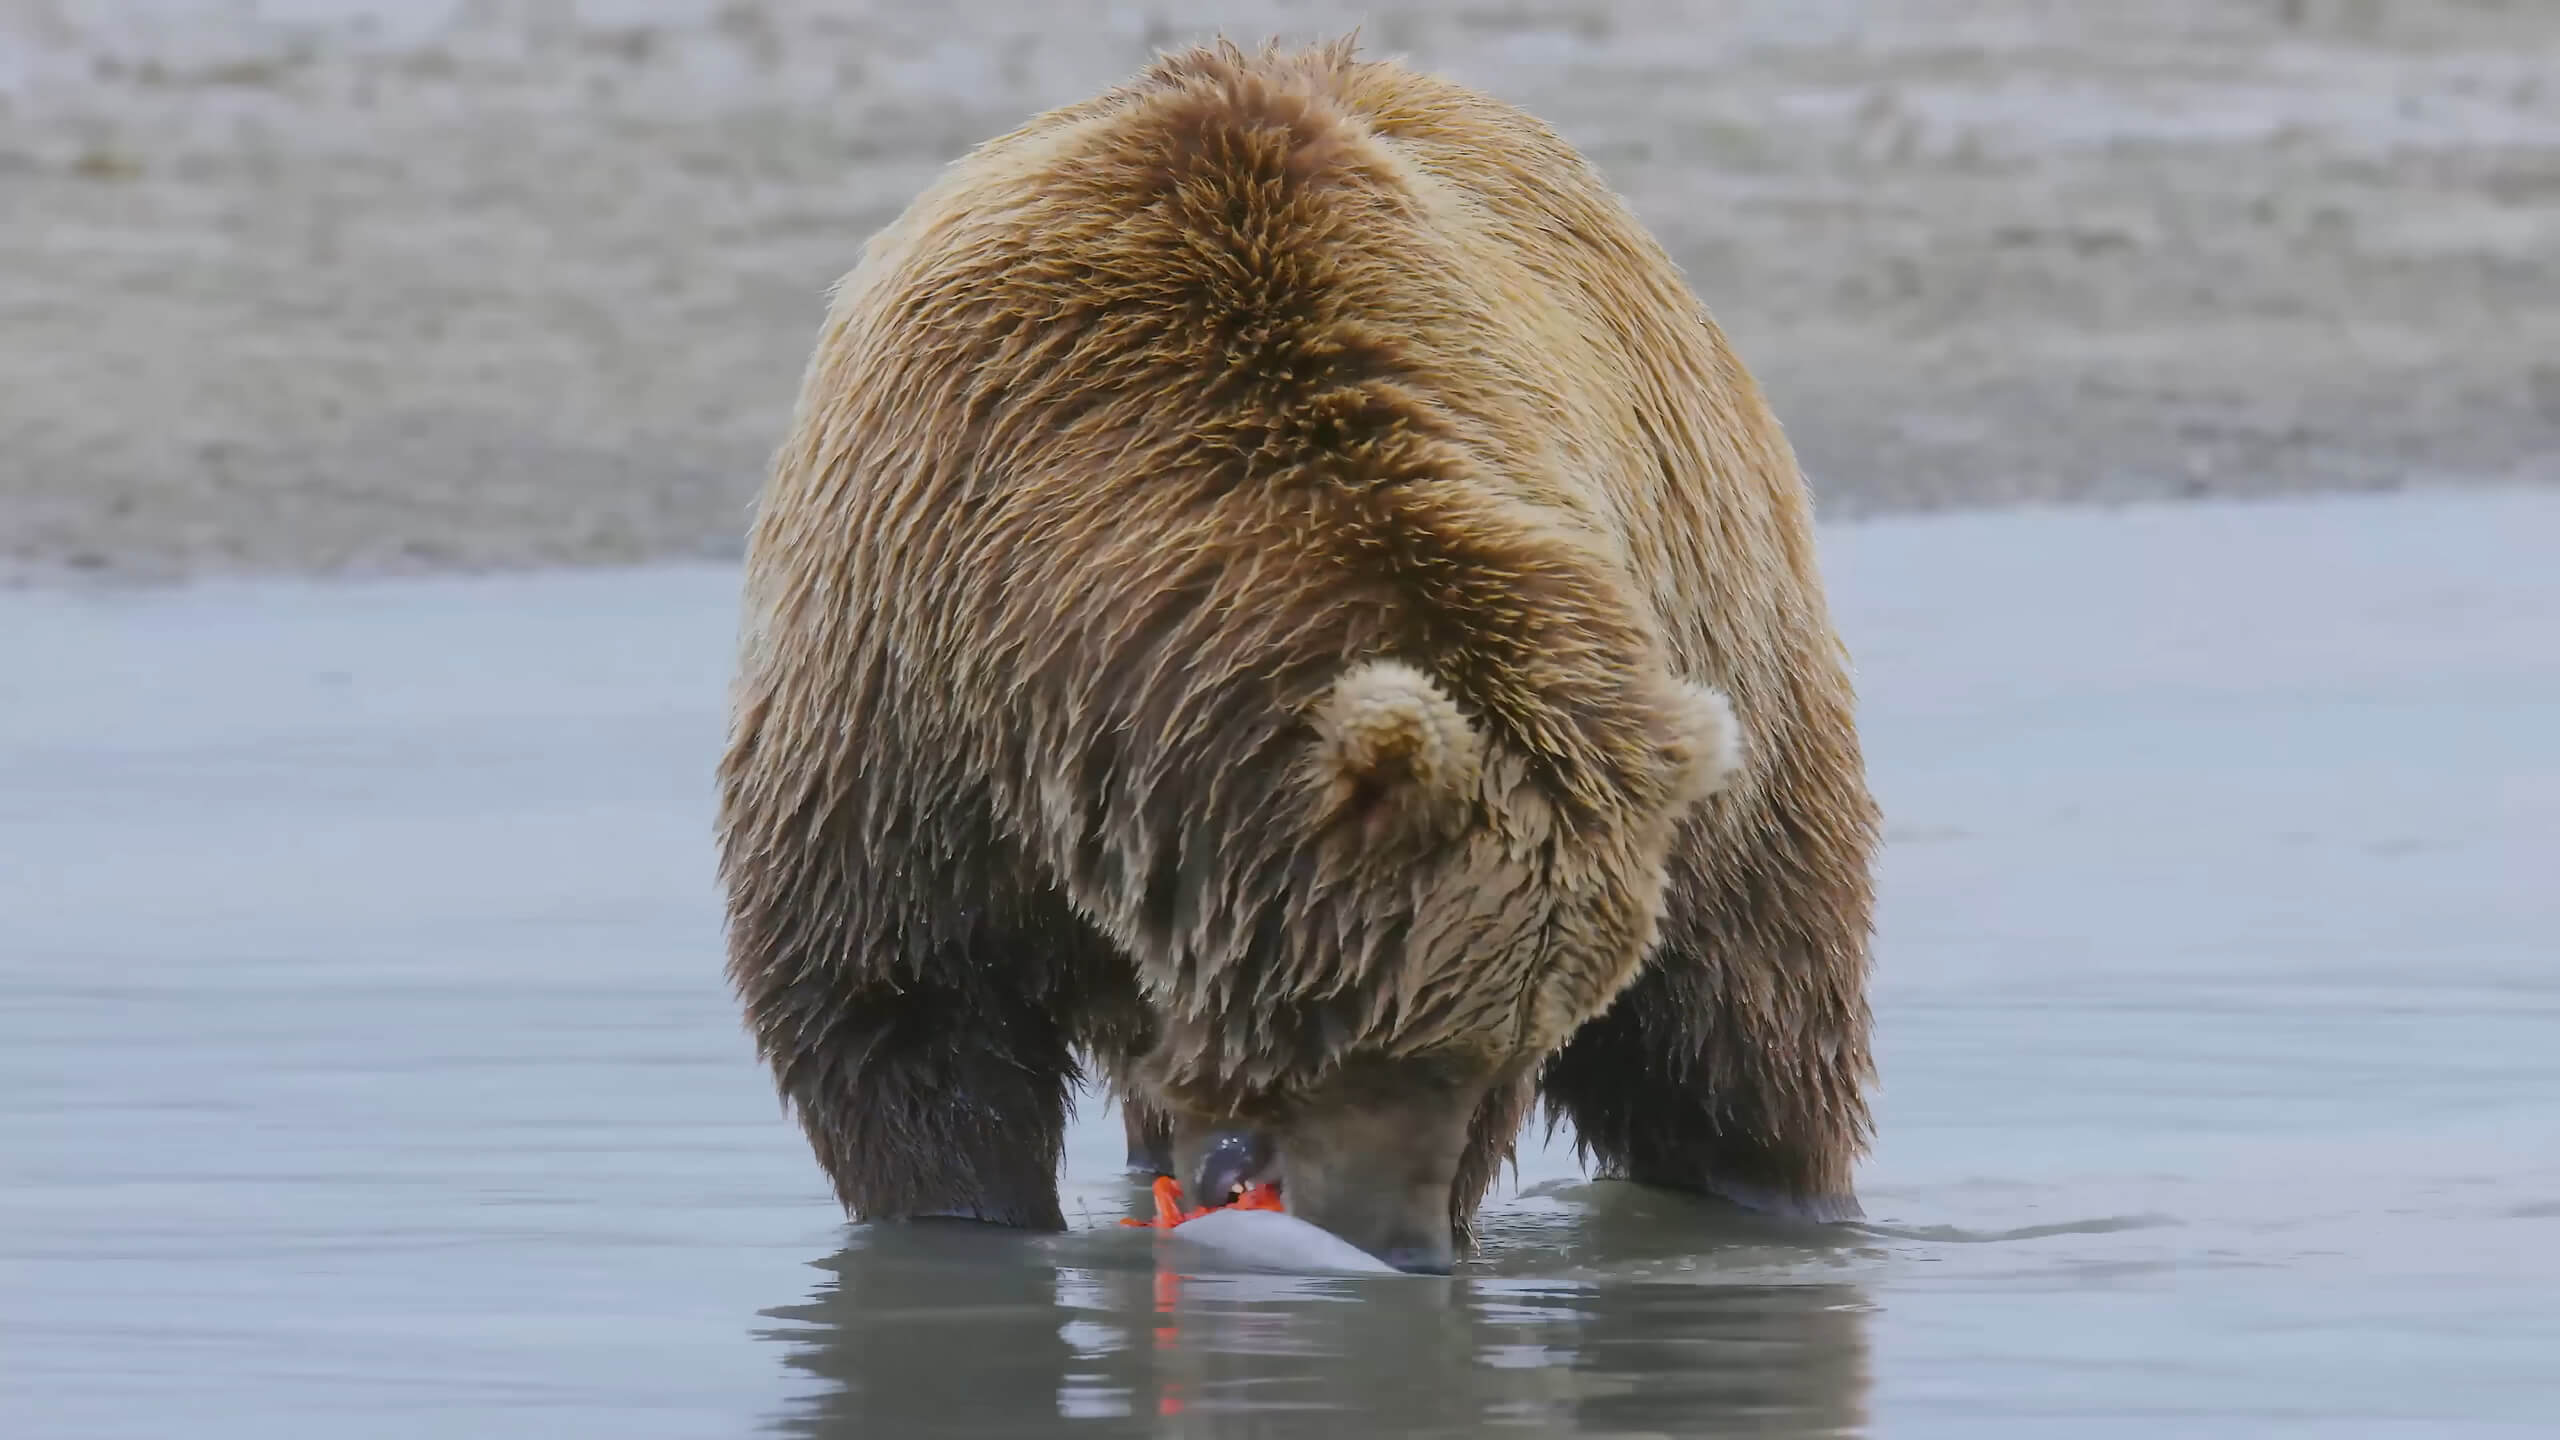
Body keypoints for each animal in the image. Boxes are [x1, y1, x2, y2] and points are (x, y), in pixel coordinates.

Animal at [721, 36, 1884, 1265]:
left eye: (1513, 1052)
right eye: (1409, 1040)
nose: (1405, 1245)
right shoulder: (904, 690)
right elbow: (902, 1017)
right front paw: (961, 1228)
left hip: (1730, 670)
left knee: (1739, 1023)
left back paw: (1778, 1194)